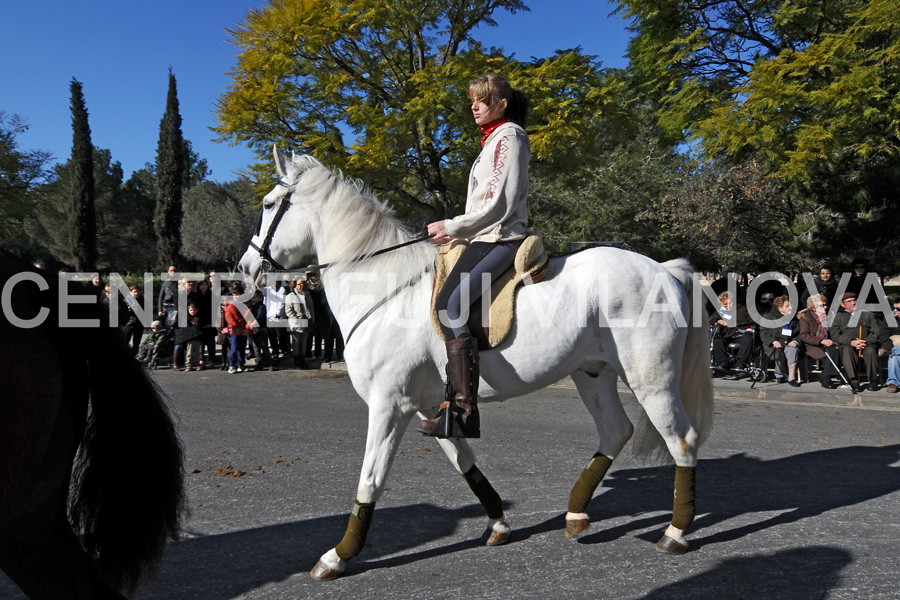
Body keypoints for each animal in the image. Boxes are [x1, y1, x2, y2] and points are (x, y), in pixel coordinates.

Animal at [236, 148, 712, 580]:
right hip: (591, 374)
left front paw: (338, 556)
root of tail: (665, 270)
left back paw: (674, 532)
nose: (243, 268)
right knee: (615, 431)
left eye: (269, 204)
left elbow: (370, 479)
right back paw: (576, 515)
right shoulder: (430, 408)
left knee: (682, 440)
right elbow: (463, 462)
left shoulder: (389, 406)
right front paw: (498, 523)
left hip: (651, 381)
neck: (384, 290)